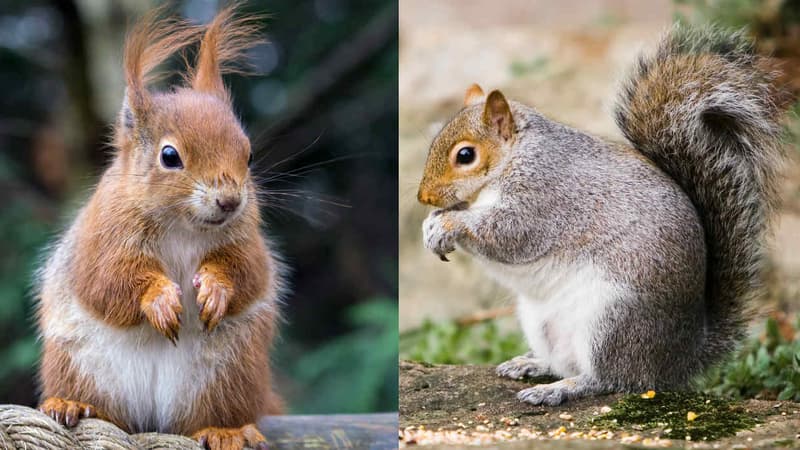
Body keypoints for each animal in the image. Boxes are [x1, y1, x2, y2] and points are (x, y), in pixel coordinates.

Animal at [35, 6, 281, 449]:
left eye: (249, 154)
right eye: (169, 156)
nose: (230, 201)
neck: (183, 226)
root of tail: (152, 418)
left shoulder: (247, 239)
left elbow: (248, 272)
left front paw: (216, 289)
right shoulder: (102, 238)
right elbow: (107, 281)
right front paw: (159, 299)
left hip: (230, 375)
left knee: (211, 415)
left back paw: (225, 429)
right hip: (77, 364)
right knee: (100, 405)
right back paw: (71, 404)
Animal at [417, 25, 791, 406]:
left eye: (465, 155)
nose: (423, 197)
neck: (513, 160)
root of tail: (679, 358)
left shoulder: (543, 198)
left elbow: (509, 235)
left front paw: (448, 224)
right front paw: (431, 224)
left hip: (612, 321)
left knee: (612, 378)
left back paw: (561, 389)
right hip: (542, 323)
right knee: (564, 362)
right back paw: (532, 365)